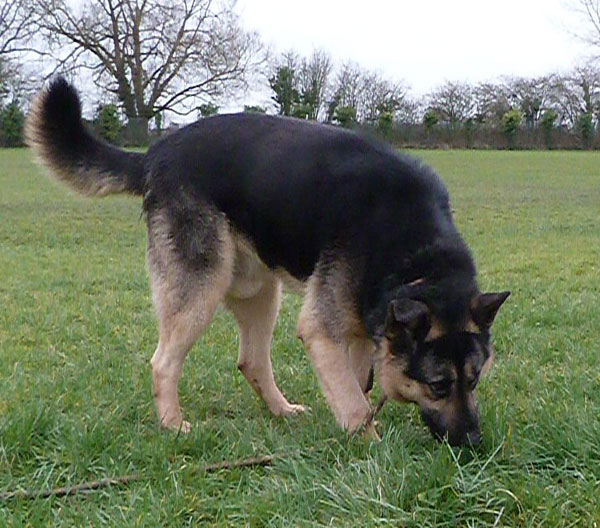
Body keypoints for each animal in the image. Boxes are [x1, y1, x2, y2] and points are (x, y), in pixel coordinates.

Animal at [25, 77, 508, 446]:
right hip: (200, 290)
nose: (473, 443)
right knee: (164, 363)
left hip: (260, 292)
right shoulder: (322, 330)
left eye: (475, 381)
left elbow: (357, 387)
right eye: (439, 385)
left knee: (252, 362)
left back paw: (281, 410)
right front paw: (371, 446)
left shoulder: (355, 331)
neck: (419, 259)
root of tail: (154, 154)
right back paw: (173, 425)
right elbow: (354, 402)